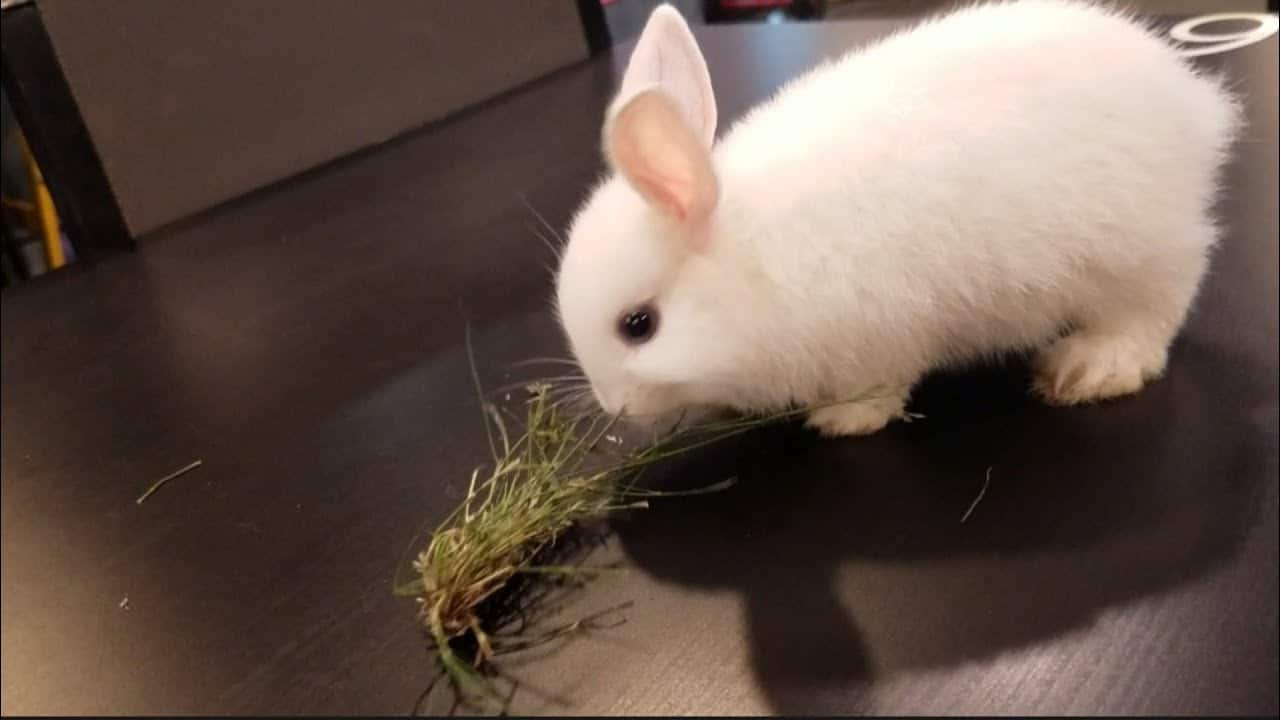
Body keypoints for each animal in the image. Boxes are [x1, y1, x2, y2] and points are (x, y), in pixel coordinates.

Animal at [554, 0, 1242, 437]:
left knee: (1156, 308)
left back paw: (1090, 368)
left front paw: (840, 421)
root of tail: (1196, 102)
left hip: (1140, 252)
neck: (748, 254)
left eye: (638, 326)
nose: (613, 407)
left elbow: (877, 388)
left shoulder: (882, 333)